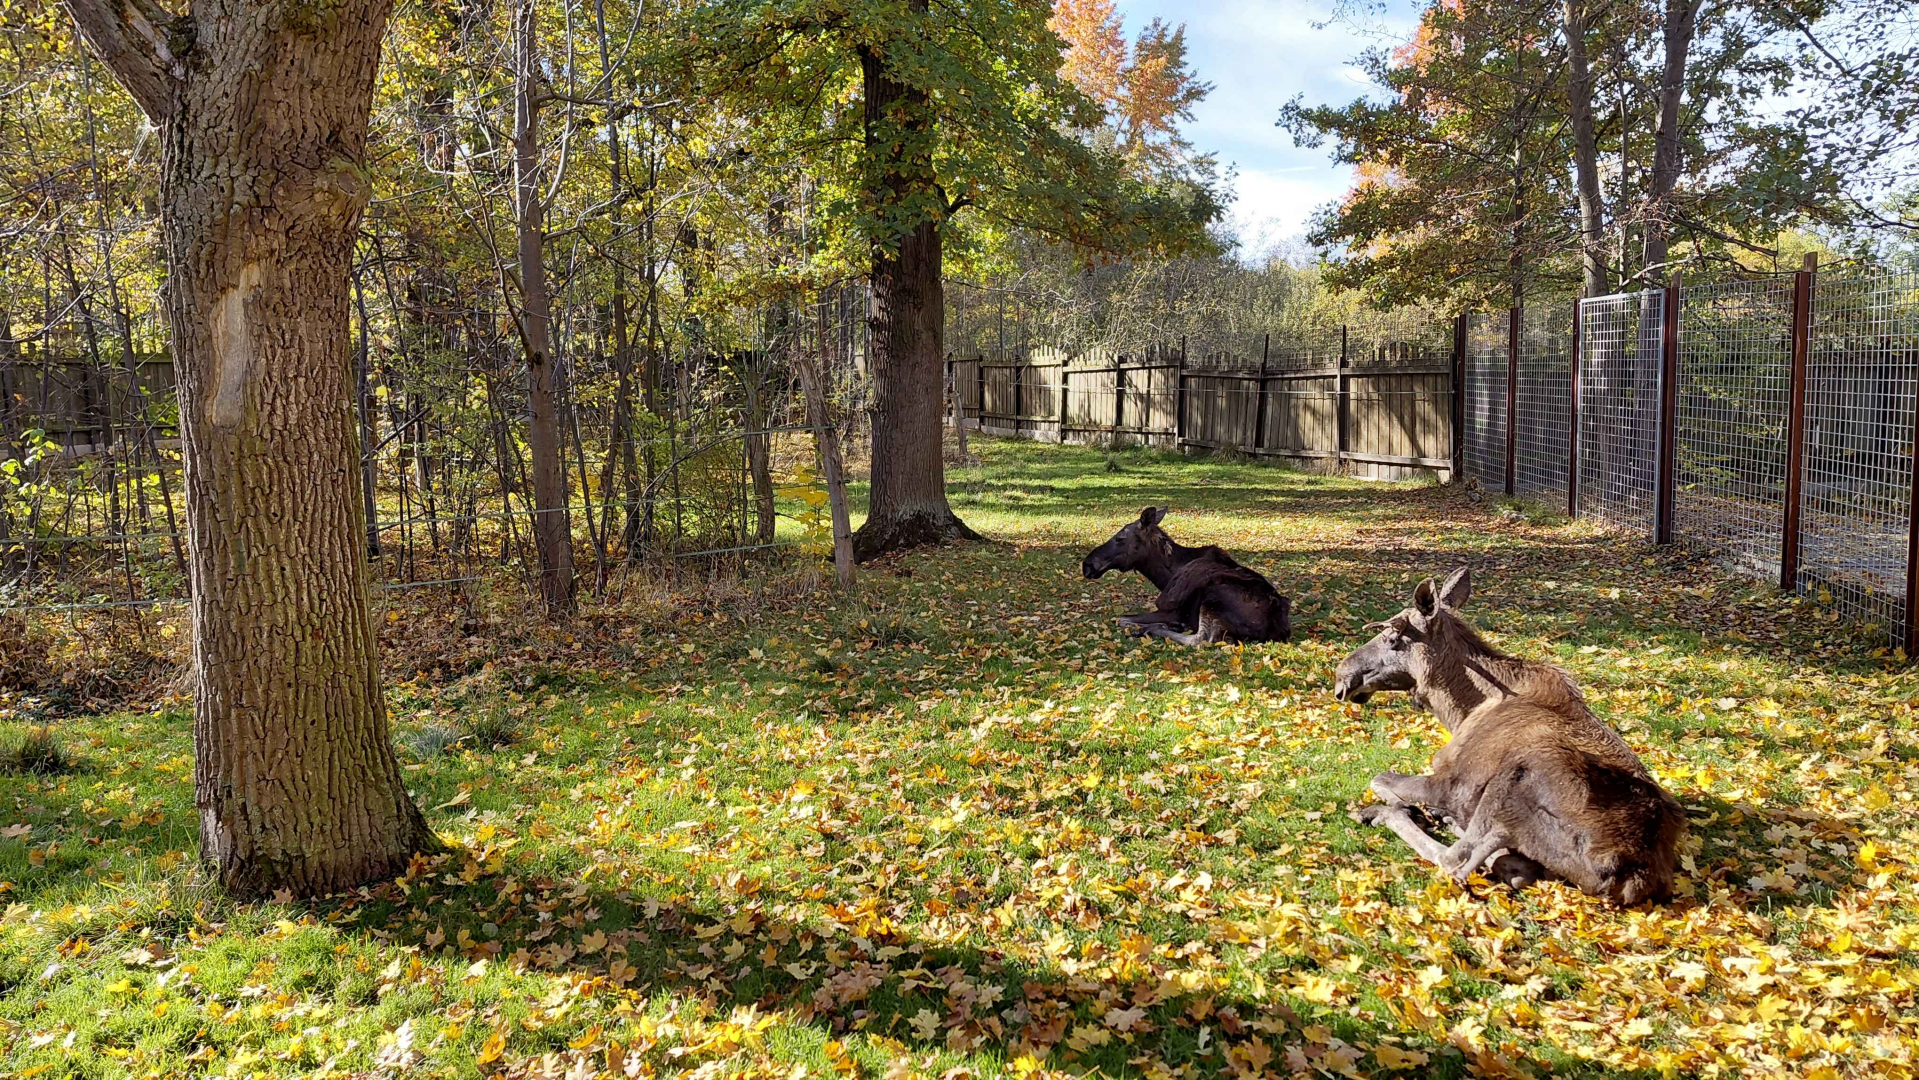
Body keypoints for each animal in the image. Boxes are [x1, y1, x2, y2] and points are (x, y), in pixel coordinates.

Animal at [1080, 507, 1292, 645]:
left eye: (1120, 538)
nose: (1087, 564)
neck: (1165, 577)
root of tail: (1277, 628)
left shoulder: (1171, 609)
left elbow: (1122, 618)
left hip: (1211, 598)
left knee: (1200, 639)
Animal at [1331, 567, 1685, 905]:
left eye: (1393, 638)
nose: (1342, 676)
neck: (1460, 710)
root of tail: (1631, 876)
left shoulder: (1450, 783)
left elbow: (1379, 778)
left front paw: (1408, 807)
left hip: (1514, 779)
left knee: (1461, 859)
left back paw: (1391, 815)